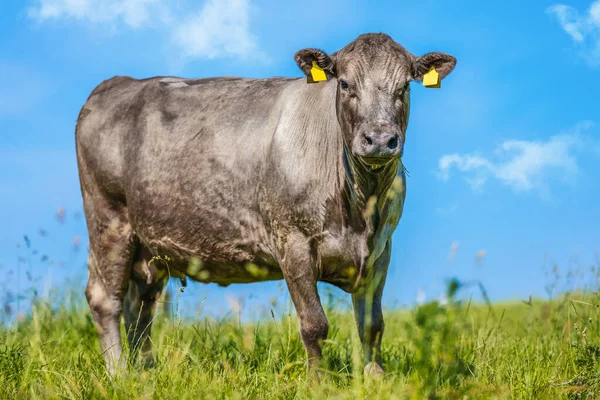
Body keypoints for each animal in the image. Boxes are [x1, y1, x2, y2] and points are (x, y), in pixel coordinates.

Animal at [77, 32, 458, 376]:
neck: (359, 207)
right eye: (345, 83)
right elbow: (314, 324)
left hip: (150, 245)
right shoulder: (293, 241)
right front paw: (318, 383)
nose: (379, 139)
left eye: (405, 87)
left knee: (140, 306)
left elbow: (372, 325)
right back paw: (119, 374)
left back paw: (146, 372)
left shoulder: (381, 249)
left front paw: (375, 378)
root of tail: (118, 83)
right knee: (106, 299)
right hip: (109, 218)